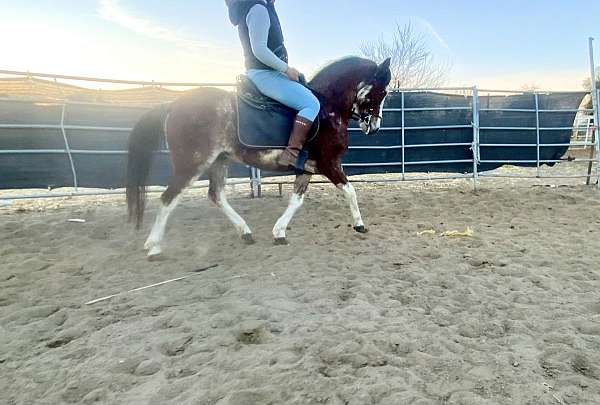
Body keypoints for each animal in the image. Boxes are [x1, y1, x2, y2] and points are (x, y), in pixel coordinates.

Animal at [125, 55, 394, 258]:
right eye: (380, 91)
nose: (375, 127)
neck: (328, 109)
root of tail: (173, 104)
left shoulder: (306, 169)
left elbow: (297, 200)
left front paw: (279, 233)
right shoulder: (329, 163)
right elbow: (350, 191)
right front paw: (360, 225)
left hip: (219, 161)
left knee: (216, 195)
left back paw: (245, 232)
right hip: (192, 163)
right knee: (168, 198)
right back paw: (154, 247)